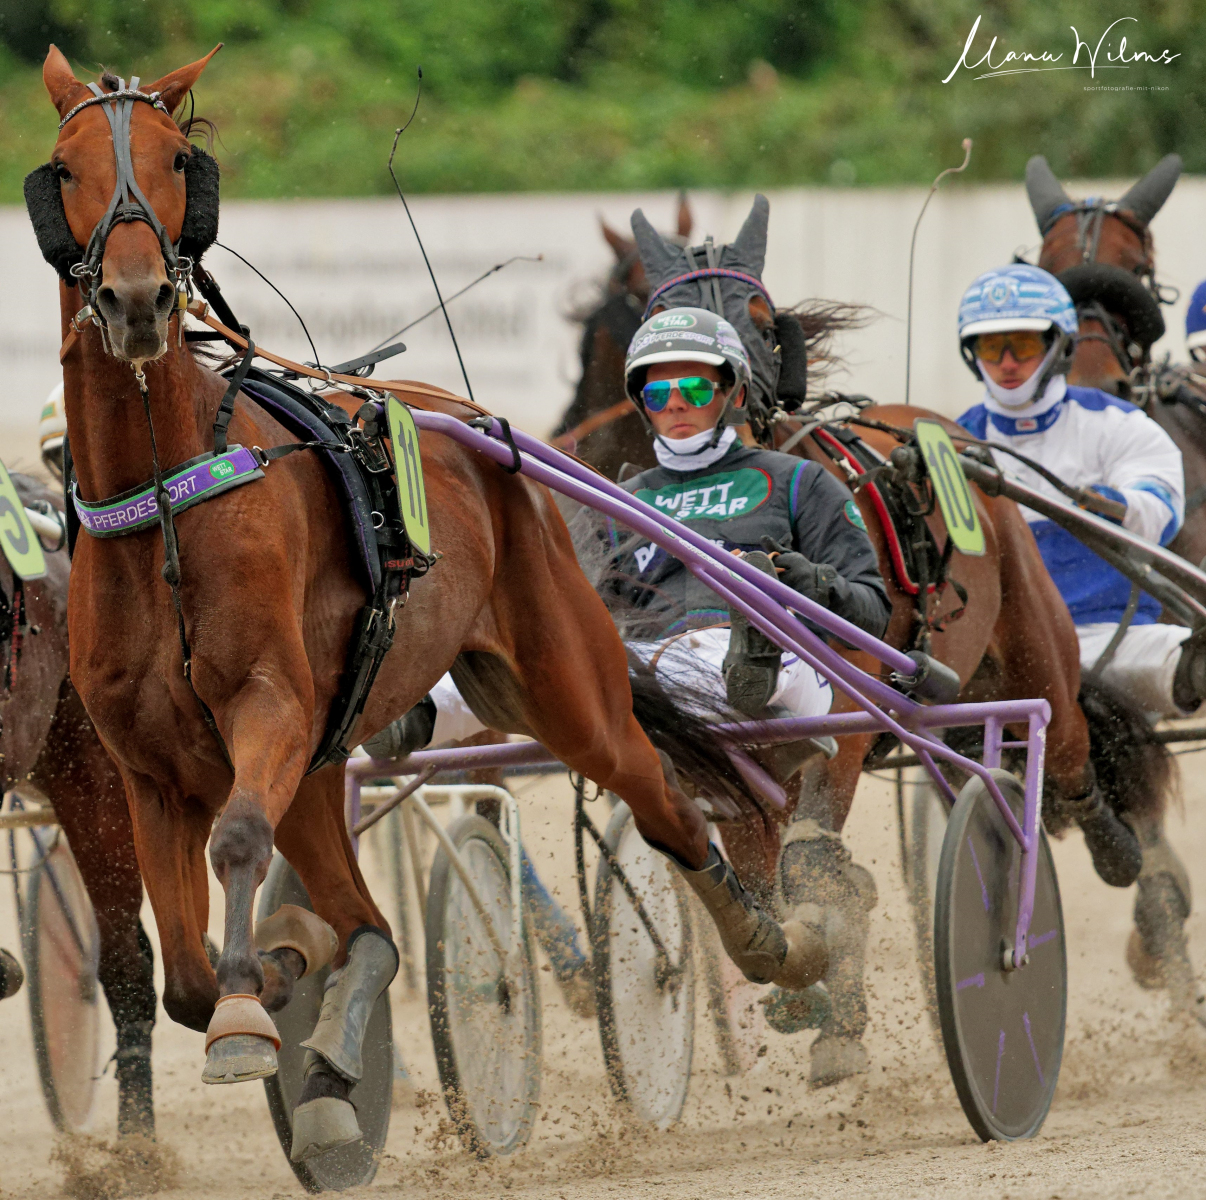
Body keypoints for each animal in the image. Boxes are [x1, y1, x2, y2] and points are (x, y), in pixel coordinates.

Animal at [32, 46, 825, 1159]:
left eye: (177, 159)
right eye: (65, 169)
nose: (138, 301)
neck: (166, 503)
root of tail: (476, 428)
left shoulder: (269, 709)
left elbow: (238, 849)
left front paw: (254, 1005)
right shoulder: (144, 768)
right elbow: (187, 975)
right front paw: (273, 979)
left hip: (564, 688)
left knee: (664, 800)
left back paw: (765, 940)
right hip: (332, 758)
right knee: (369, 926)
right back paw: (328, 1049)